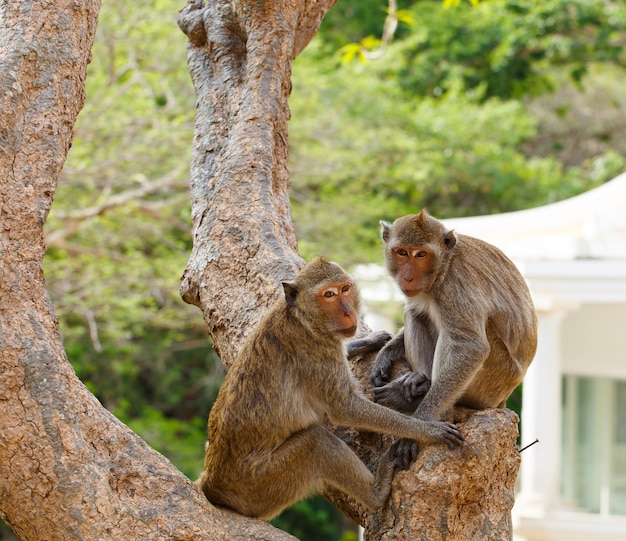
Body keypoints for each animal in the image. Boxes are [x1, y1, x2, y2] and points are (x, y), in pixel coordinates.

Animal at [196, 258, 464, 520]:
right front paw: (427, 430)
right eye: (329, 294)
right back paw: (376, 492)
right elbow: (345, 408)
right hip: (260, 483)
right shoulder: (314, 350)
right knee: (317, 442)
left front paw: (375, 340)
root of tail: (212, 482)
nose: (347, 312)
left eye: (345, 289)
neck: (303, 318)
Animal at [366, 210, 536, 468]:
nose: (408, 276)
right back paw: (419, 383)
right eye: (402, 252)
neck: (442, 268)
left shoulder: (456, 286)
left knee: (455, 337)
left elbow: (471, 347)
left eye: (421, 254)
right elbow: (415, 310)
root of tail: (503, 400)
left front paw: (421, 426)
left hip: (492, 381)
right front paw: (385, 354)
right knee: (415, 312)